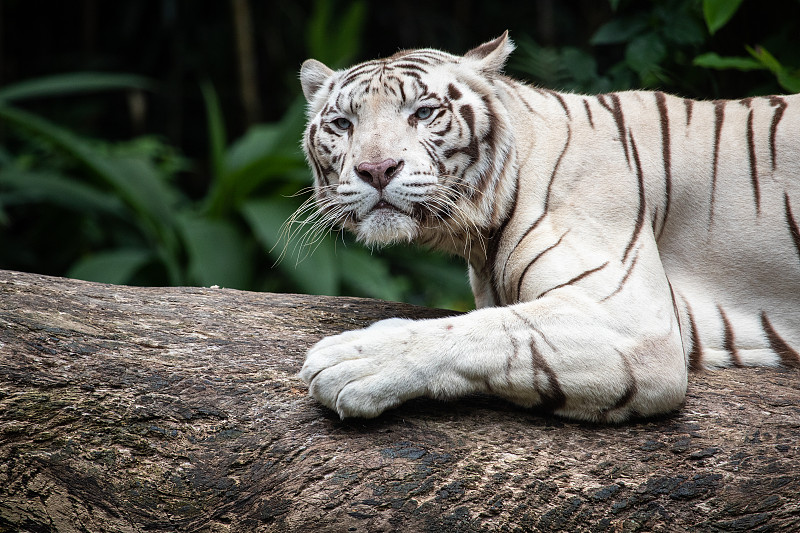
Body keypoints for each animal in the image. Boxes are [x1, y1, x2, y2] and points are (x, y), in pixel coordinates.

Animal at [296, 31, 800, 422]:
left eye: (422, 113)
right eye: (342, 123)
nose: (376, 169)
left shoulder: (632, 322)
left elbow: (488, 330)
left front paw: (354, 359)